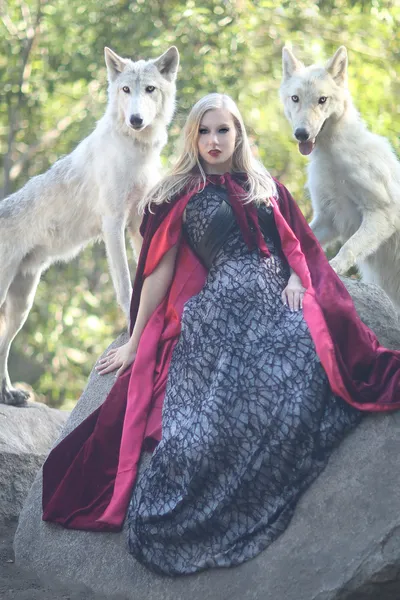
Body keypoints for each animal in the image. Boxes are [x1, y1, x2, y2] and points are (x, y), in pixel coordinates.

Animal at [0, 44, 179, 406]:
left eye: (149, 89)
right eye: (125, 90)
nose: (135, 120)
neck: (136, 152)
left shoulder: (138, 221)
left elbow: (147, 273)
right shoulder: (114, 222)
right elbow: (125, 285)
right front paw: (130, 323)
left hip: (21, 305)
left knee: (2, 346)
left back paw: (8, 393)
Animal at [280, 45, 400, 310]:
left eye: (322, 100)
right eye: (295, 98)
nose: (301, 134)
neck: (332, 158)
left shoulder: (382, 213)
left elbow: (348, 248)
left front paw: (334, 270)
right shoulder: (328, 219)